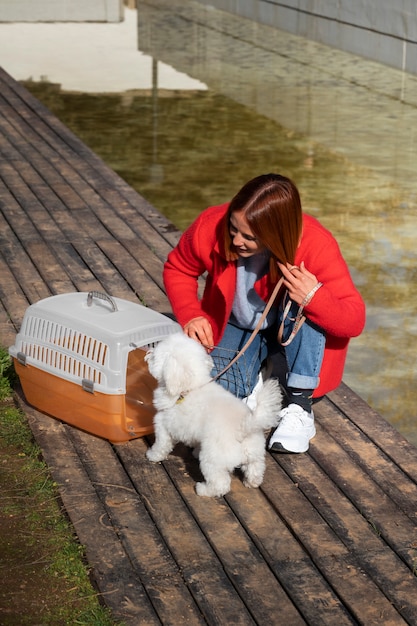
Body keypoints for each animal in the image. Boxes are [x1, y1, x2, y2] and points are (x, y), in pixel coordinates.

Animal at [145, 332, 282, 498]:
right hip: (254, 453)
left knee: (220, 484)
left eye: (156, 356)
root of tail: (244, 428)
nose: (148, 354)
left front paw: (152, 455)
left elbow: (161, 445)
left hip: (212, 459)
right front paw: (195, 451)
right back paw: (251, 482)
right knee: (256, 468)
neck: (191, 387)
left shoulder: (163, 425)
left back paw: (203, 489)